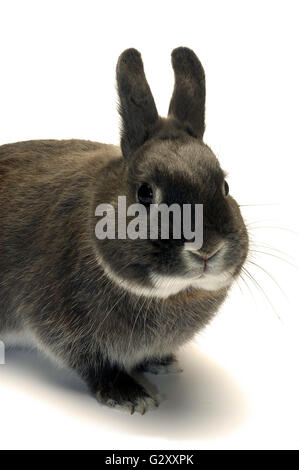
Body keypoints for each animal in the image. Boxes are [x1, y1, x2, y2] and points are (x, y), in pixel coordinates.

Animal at [0, 47, 248, 414]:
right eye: (145, 193)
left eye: (225, 186)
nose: (208, 248)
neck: (171, 294)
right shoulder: (61, 323)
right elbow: (91, 363)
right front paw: (131, 395)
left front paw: (162, 363)